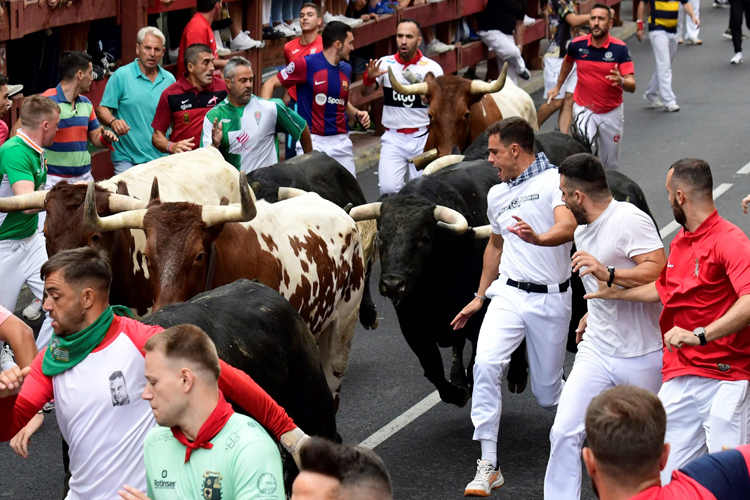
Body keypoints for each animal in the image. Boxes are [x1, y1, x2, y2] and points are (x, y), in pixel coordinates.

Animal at [376, 155, 656, 406]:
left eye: (424, 238)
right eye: (380, 237)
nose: (392, 283)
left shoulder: (478, 322)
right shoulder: (412, 326)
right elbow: (434, 370)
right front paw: (458, 390)